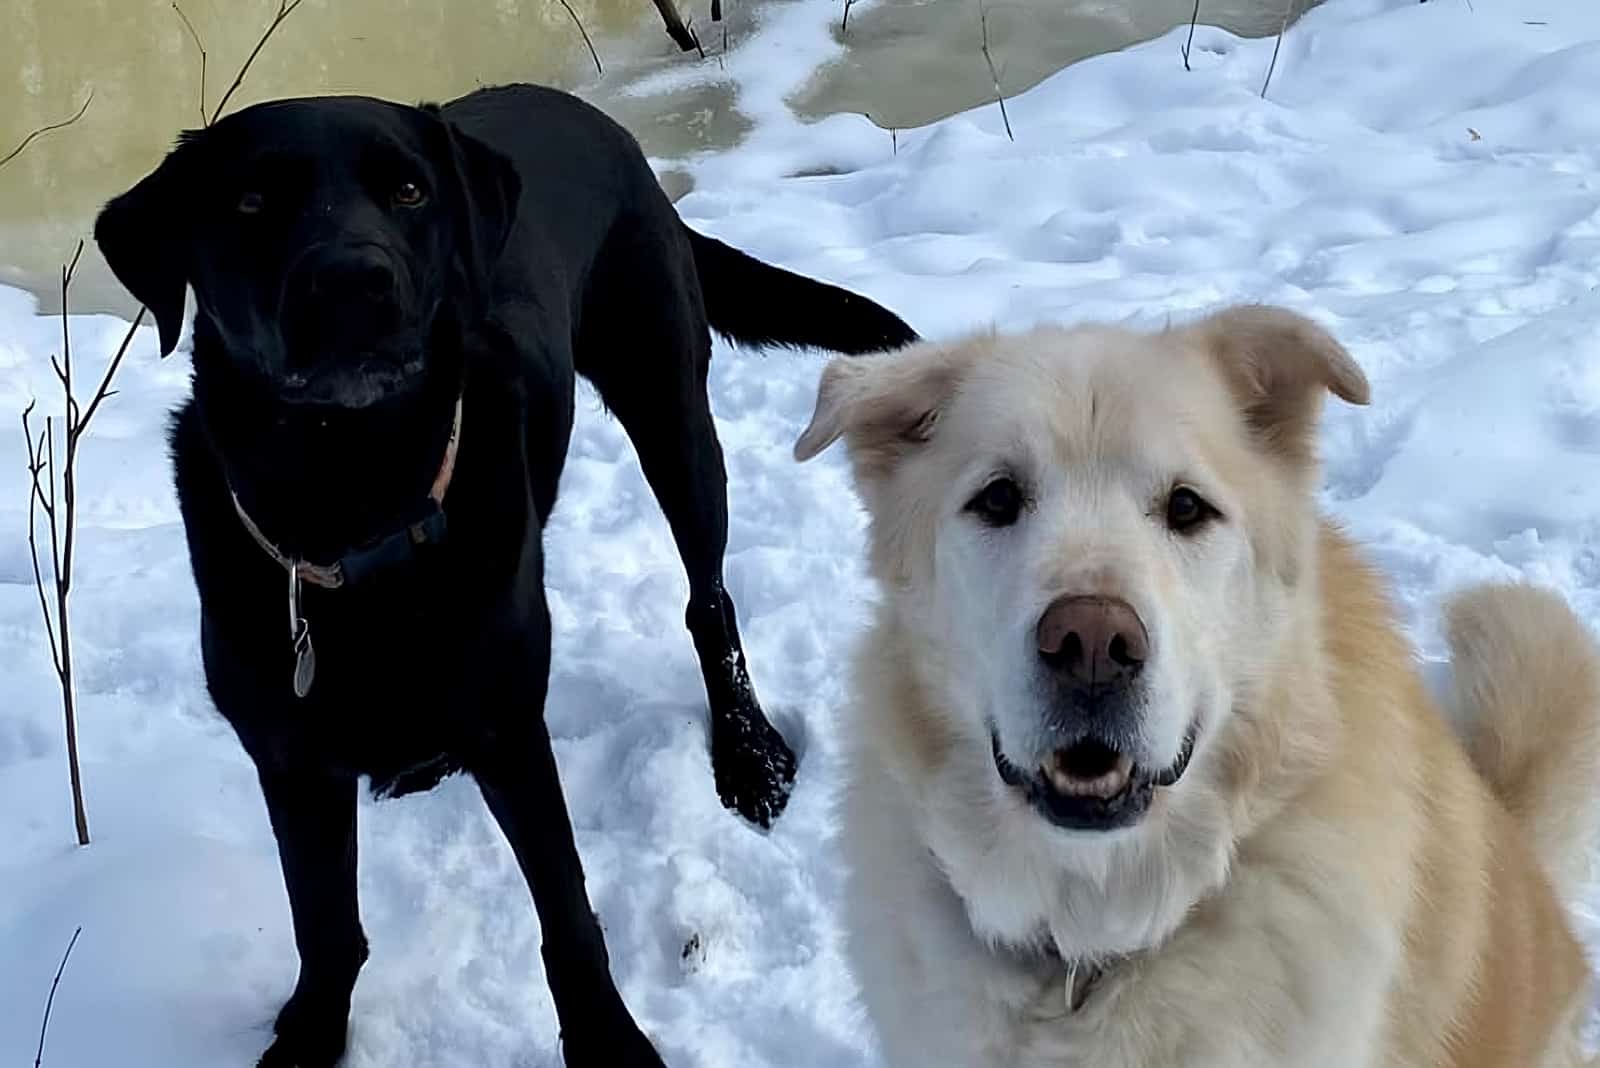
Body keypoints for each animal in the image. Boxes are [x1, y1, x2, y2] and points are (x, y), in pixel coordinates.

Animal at [93, 85, 921, 1068]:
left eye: (409, 190)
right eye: (252, 202)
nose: (353, 282)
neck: (352, 500)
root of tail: (586, 112)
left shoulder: (511, 727)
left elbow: (566, 914)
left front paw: (608, 1043)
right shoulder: (289, 758)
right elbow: (323, 926)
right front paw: (310, 1036)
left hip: (670, 405)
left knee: (707, 598)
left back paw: (749, 754)